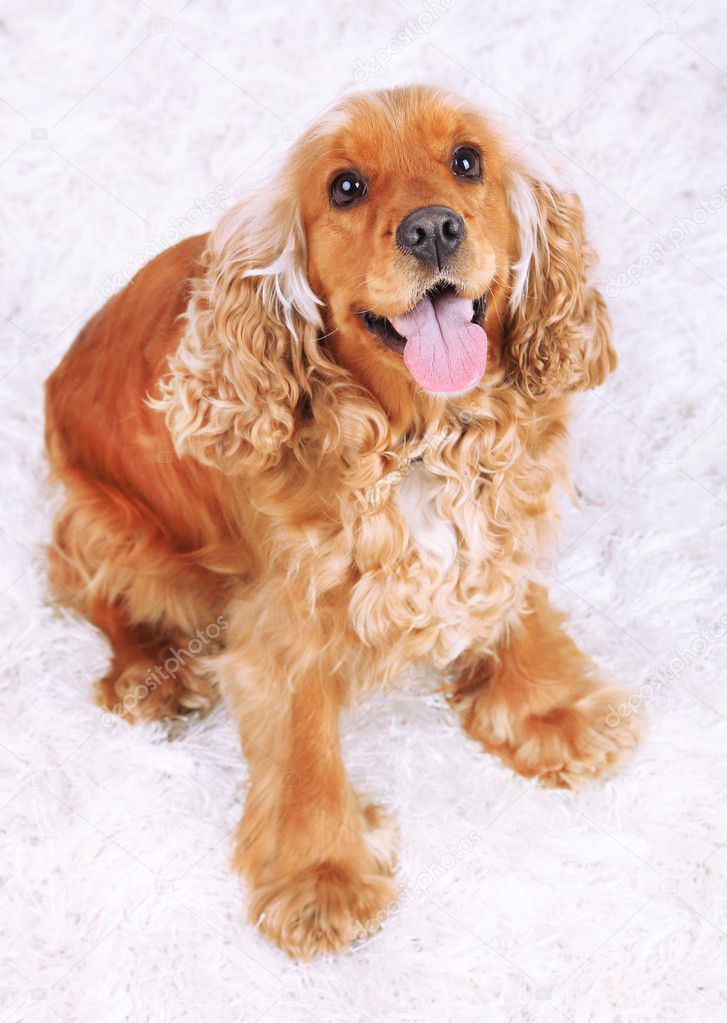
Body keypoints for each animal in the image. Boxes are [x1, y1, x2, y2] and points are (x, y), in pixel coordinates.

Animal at [43, 81, 642, 957]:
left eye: (468, 160)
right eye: (345, 187)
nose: (432, 227)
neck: (420, 441)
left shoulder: (499, 522)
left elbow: (510, 601)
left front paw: (549, 708)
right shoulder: (283, 613)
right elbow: (302, 740)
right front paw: (319, 874)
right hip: (114, 527)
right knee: (94, 588)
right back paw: (150, 674)